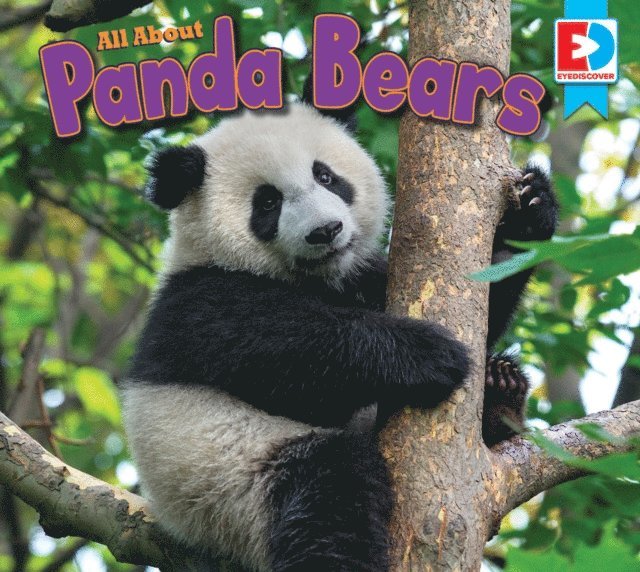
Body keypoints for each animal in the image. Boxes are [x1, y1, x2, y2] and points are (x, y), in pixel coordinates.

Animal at [121, 101, 557, 571]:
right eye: (268, 202)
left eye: (325, 176)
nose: (325, 231)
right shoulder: (200, 302)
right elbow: (290, 355)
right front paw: (429, 354)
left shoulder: (364, 276)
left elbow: (486, 295)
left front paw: (531, 213)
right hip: (231, 482)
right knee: (328, 493)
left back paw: (501, 391)